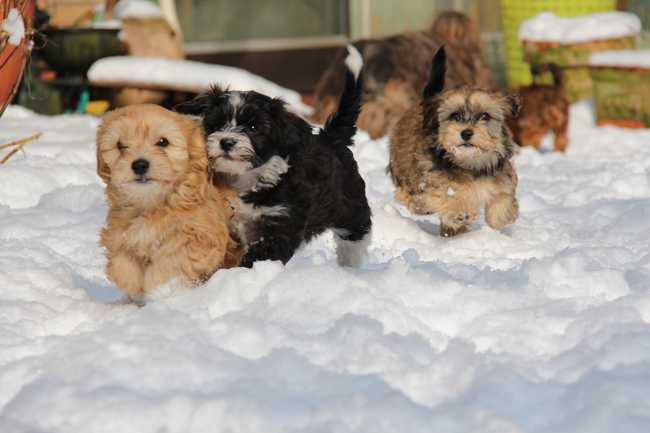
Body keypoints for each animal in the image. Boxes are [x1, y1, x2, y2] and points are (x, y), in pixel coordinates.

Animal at [97, 104, 241, 303]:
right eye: (120, 145)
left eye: (163, 142)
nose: (139, 165)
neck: (153, 203)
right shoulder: (121, 232)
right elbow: (123, 258)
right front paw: (131, 284)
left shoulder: (194, 236)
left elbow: (171, 263)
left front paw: (160, 290)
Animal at [175, 47, 372, 268]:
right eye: (216, 124)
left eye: (254, 127)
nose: (226, 142)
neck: (245, 179)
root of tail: (330, 137)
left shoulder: (279, 222)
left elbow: (258, 257)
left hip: (350, 204)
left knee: (355, 236)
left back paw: (350, 266)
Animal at [389, 47, 520, 237]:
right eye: (454, 116)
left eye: (485, 116)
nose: (466, 133)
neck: (471, 163)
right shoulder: (433, 180)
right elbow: (445, 195)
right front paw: (459, 210)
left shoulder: (502, 177)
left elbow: (503, 196)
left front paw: (501, 216)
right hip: (404, 168)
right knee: (407, 193)